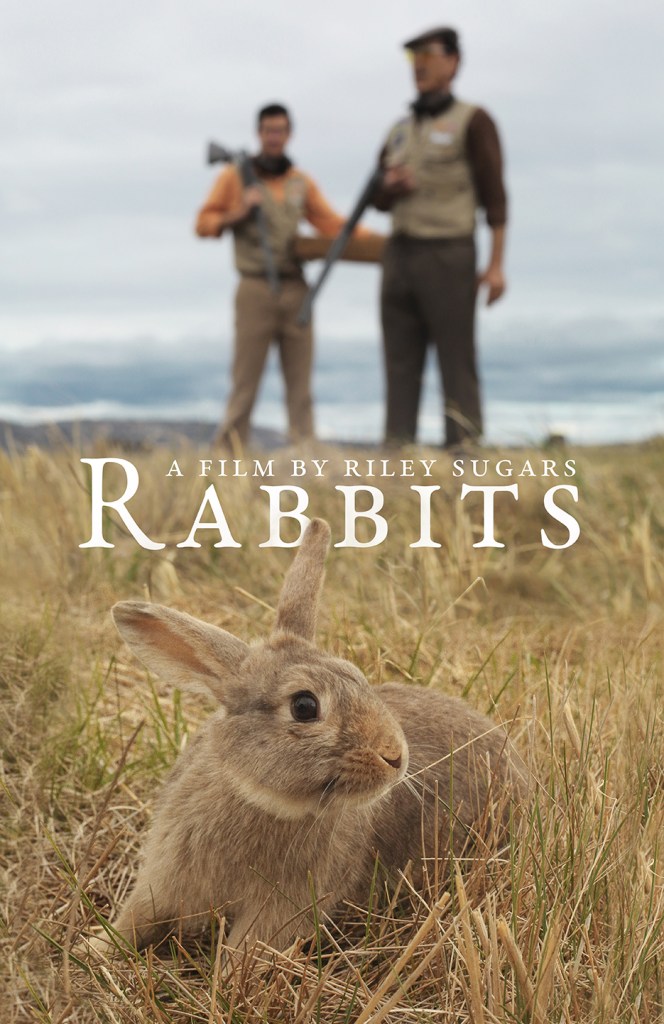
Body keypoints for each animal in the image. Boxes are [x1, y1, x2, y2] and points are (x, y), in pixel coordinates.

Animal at [105, 518, 528, 953]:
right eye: (304, 706)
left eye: (357, 675)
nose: (395, 757)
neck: (262, 799)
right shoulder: (165, 878)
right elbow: (136, 918)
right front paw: (97, 948)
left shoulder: (282, 910)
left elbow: (247, 949)